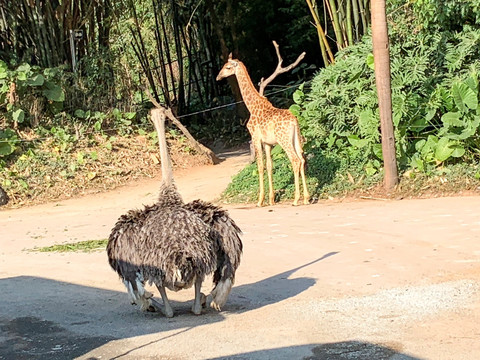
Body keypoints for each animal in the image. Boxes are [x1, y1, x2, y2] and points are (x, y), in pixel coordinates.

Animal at [218, 53, 312, 205]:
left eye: (227, 67)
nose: (218, 77)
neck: (252, 106)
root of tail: (294, 121)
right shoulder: (268, 143)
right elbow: (269, 166)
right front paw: (271, 199)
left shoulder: (255, 138)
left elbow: (260, 166)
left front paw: (260, 200)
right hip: (296, 139)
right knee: (302, 159)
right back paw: (306, 198)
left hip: (284, 141)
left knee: (295, 160)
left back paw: (296, 199)